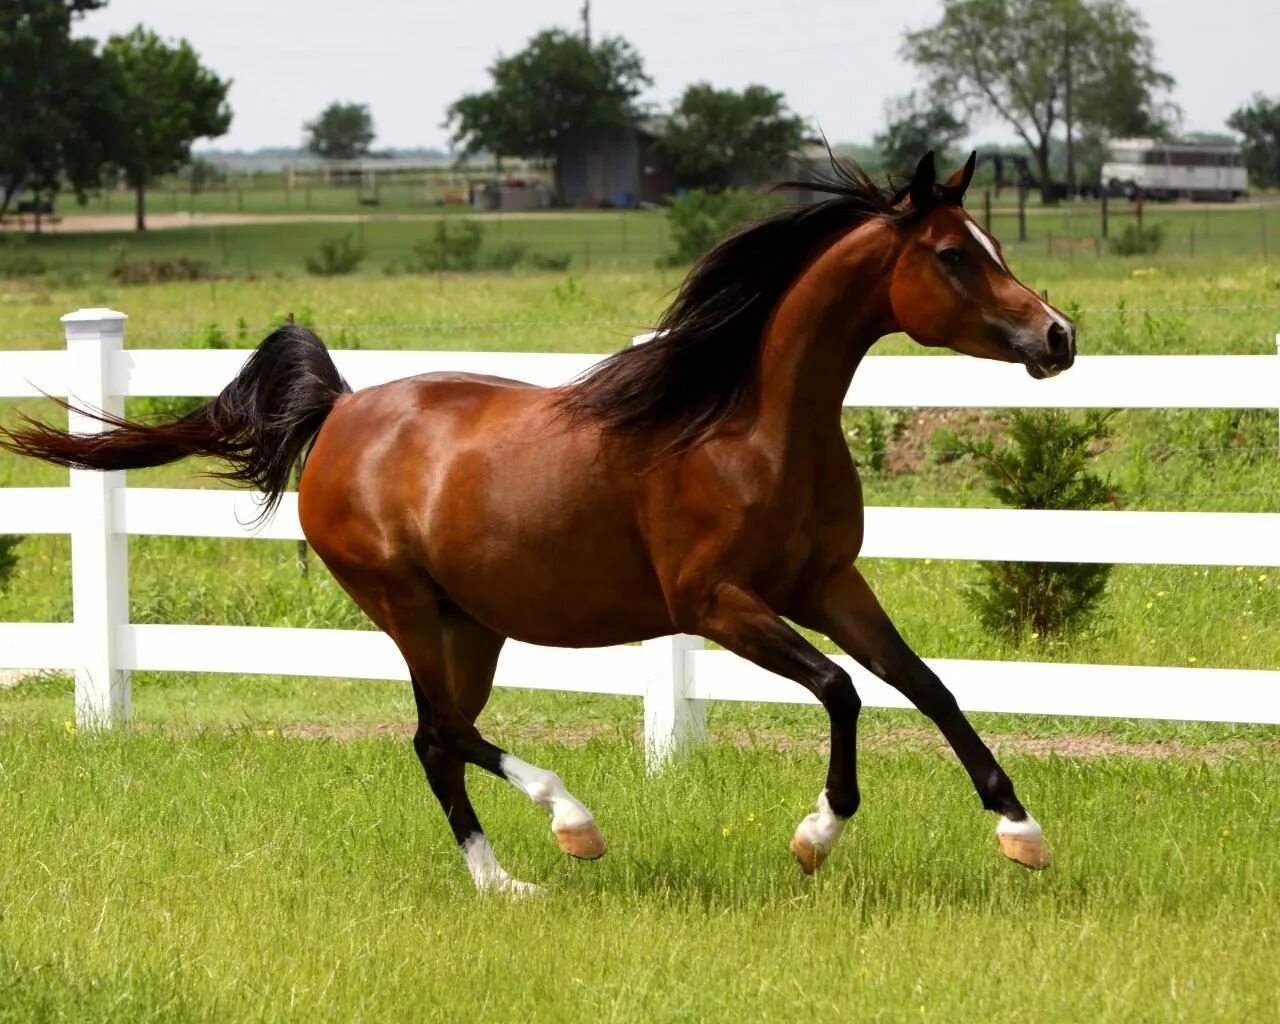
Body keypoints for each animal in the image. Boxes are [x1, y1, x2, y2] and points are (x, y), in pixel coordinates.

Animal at [5, 154, 1075, 896]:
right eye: (952, 254)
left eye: (992, 244)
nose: (1058, 336)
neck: (746, 426)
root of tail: (342, 411)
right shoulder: (717, 604)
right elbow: (842, 690)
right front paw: (816, 836)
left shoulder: (827, 584)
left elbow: (926, 685)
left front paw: (1021, 833)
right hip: (404, 604)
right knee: (439, 733)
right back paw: (562, 835)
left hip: (470, 622)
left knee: (446, 736)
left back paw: (521, 867)